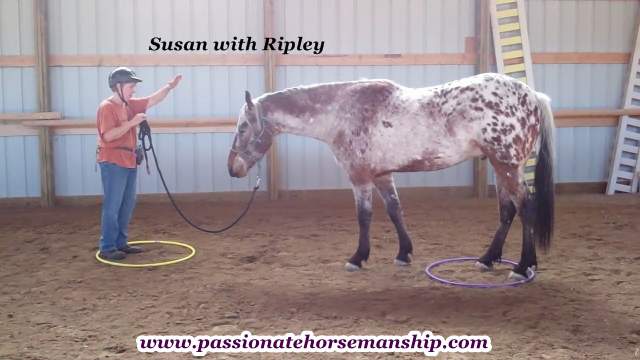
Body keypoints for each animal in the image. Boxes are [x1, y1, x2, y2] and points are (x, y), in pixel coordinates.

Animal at [228, 73, 552, 280]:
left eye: (243, 127)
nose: (233, 168)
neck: (341, 114)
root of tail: (532, 95)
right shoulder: (383, 175)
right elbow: (395, 210)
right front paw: (404, 254)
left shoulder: (359, 177)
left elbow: (364, 216)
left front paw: (357, 258)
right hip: (502, 168)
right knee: (508, 211)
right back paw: (487, 260)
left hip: (507, 166)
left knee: (525, 207)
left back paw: (522, 266)